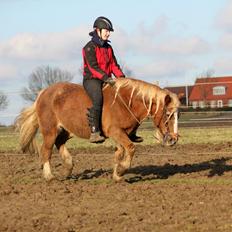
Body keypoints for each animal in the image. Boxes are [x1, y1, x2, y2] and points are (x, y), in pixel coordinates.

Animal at [15, 78, 180, 181]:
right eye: (167, 114)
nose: (173, 139)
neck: (126, 102)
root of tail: (43, 93)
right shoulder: (116, 132)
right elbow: (131, 148)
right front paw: (121, 170)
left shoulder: (122, 134)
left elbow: (120, 153)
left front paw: (117, 174)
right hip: (50, 130)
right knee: (46, 150)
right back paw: (50, 176)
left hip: (65, 130)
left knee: (59, 143)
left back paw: (68, 168)